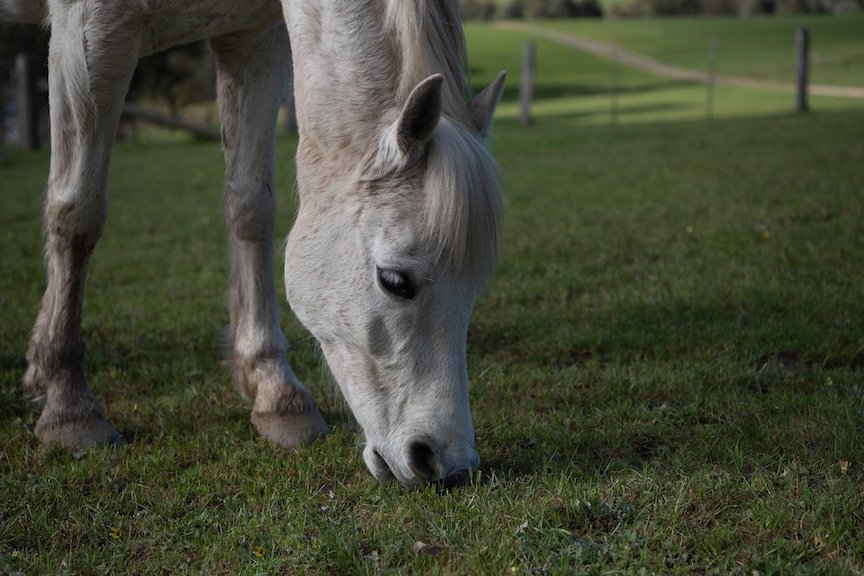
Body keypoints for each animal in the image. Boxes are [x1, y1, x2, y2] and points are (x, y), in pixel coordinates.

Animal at [3, 0, 506, 488]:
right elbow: (77, 214)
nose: (448, 464)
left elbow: (250, 207)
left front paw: (274, 390)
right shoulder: (88, 33)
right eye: (395, 281)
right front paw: (69, 404)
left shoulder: (253, 40)